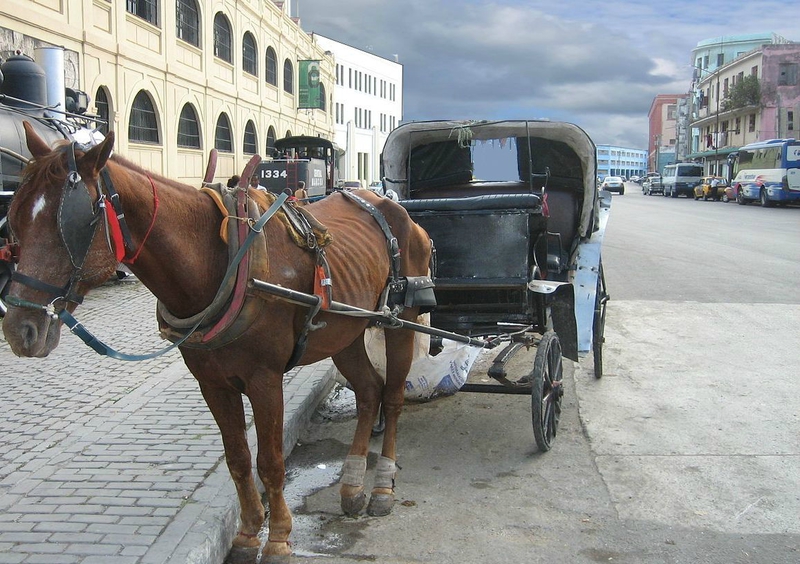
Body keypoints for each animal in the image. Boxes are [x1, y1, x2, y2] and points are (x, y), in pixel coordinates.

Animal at [3, 122, 434, 560]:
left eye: (75, 224)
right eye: (15, 219)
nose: (20, 329)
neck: (222, 262)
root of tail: (390, 206)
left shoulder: (265, 381)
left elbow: (271, 462)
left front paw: (278, 537)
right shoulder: (212, 383)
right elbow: (238, 459)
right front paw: (248, 533)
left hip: (401, 322)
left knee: (392, 397)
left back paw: (381, 486)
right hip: (344, 332)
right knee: (367, 392)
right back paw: (351, 485)